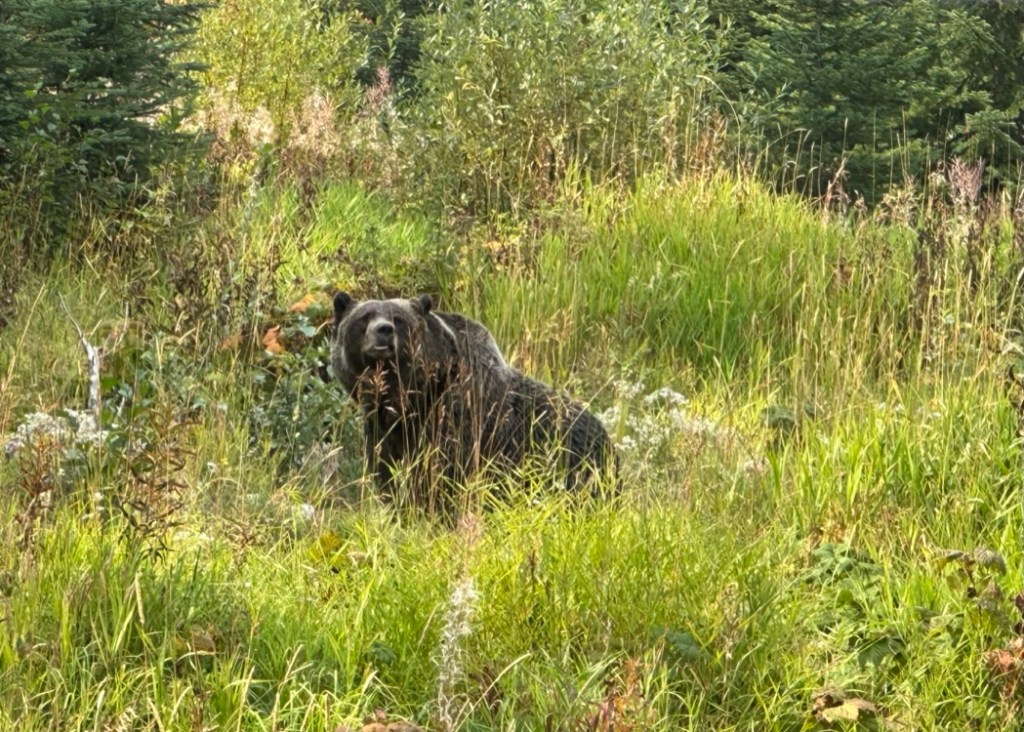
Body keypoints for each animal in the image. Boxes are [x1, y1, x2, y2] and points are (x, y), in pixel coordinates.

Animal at [330, 291, 616, 512]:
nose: (383, 331)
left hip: (572, 460)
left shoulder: (459, 420)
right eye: (364, 317)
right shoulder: (382, 426)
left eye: (398, 319)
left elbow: (442, 475)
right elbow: (386, 471)